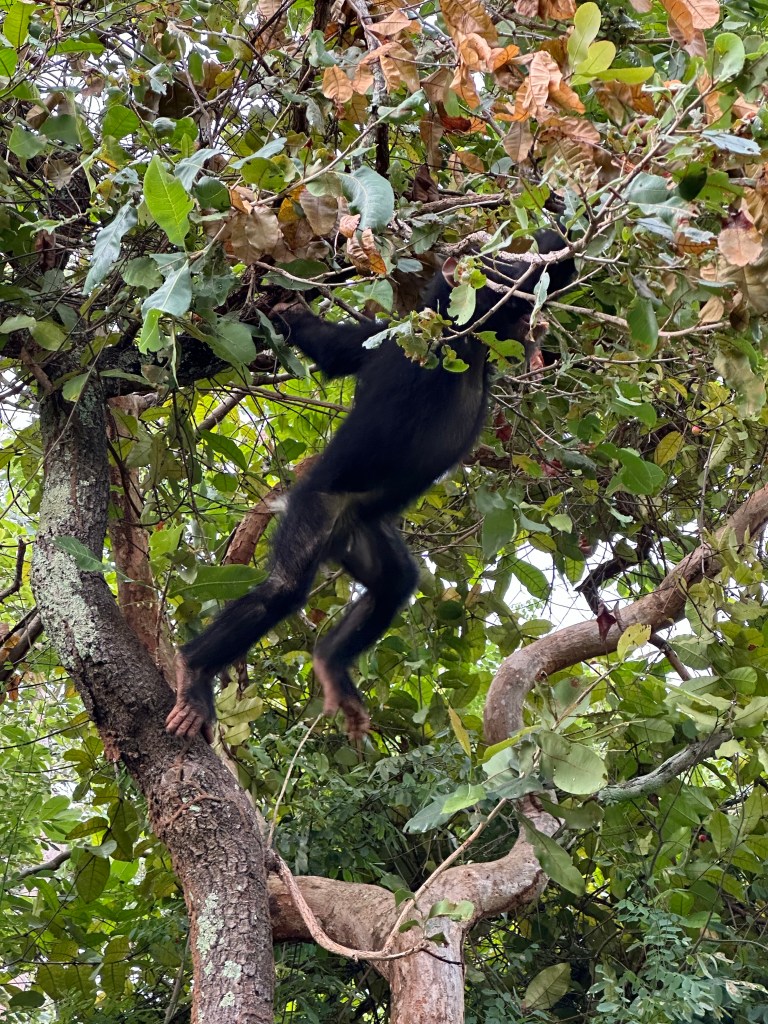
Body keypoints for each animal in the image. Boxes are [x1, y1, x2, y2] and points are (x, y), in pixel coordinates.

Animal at [166, 229, 576, 742]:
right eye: (519, 308)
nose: (537, 324)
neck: (471, 349)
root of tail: (337, 534)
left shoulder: (385, 339)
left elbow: (335, 348)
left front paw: (282, 308)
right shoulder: (433, 332)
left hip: (361, 531)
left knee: (395, 583)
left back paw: (331, 664)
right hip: (315, 509)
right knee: (283, 588)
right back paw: (195, 673)